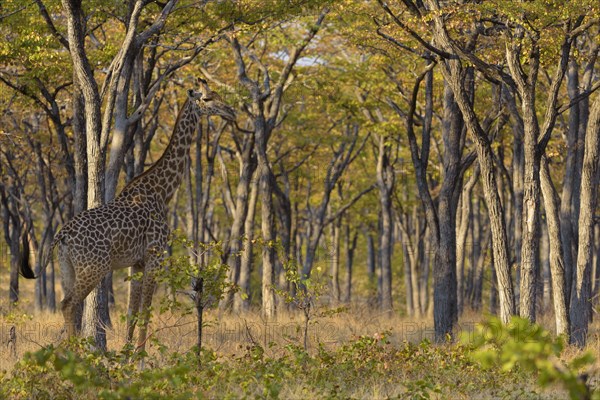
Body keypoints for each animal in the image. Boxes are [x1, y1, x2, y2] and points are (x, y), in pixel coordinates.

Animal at [20, 78, 234, 350]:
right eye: (207, 99)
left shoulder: (138, 263)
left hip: (67, 267)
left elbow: (133, 312)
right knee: (69, 304)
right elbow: (146, 310)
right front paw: (140, 356)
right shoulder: (155, 256)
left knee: (69, 305)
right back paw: (75, 354)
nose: (231, 111)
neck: (162, 192)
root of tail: (61, 235)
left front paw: (126, 353)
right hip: (94, 268)